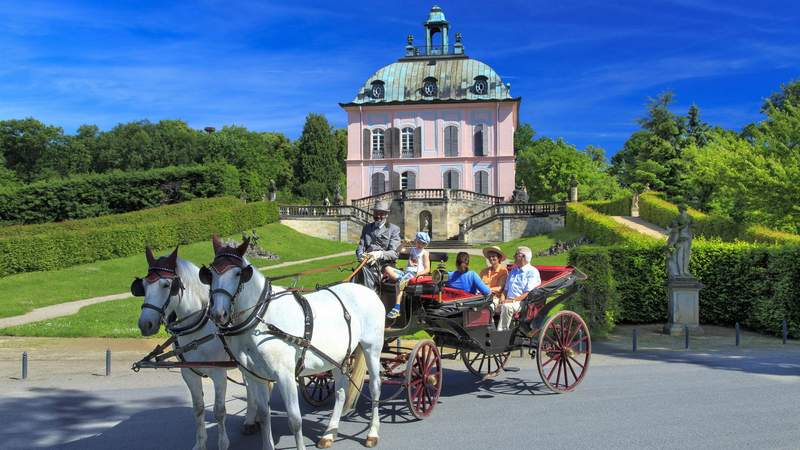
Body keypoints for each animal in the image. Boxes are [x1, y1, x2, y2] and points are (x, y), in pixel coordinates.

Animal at [137, 248, 272, 450]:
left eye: (166, 285)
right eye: (144, 286)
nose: (145, 324)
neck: (197, 329)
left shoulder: (218, 373)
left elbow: (219, 410)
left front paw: (223, 443)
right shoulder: (189, 374)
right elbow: (198, 409)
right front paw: (200, 443)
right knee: (250, 386)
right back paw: (250, 419)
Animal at [202, 237, 386, 448]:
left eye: (238, 273)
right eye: (210, 274)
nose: (219, 313)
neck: (261, 317)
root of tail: (368, 291)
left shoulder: (285, 376)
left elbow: (295, 419)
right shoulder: (256, 375)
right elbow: (264, 415)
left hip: (372, 348)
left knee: (375, 387)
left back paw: (372, 432)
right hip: (338, 357)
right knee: (340, 391)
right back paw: (330, 433)